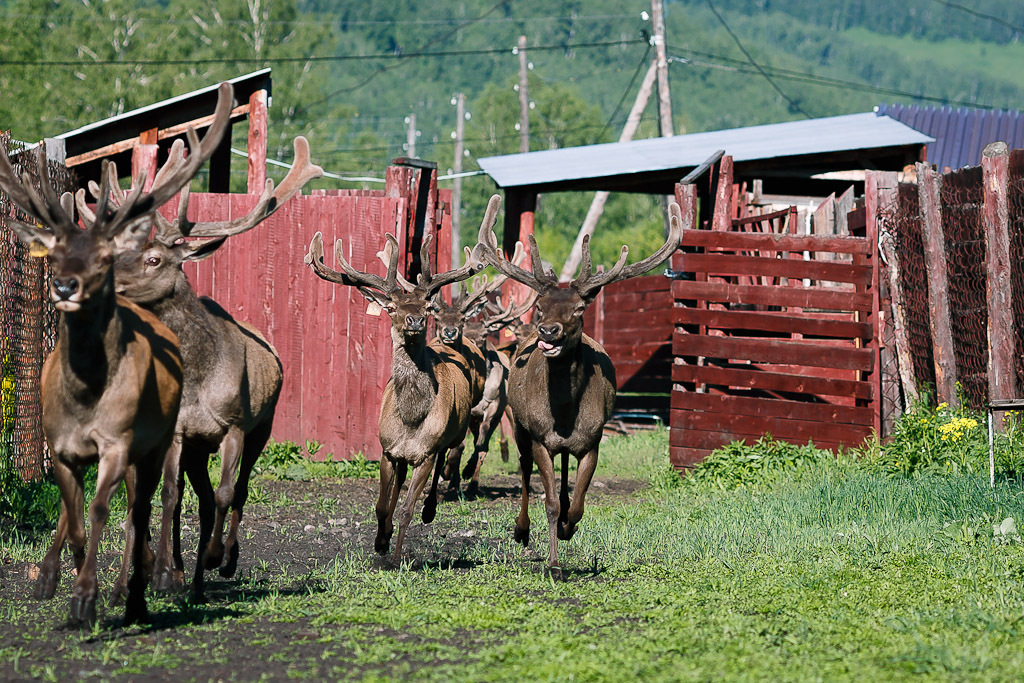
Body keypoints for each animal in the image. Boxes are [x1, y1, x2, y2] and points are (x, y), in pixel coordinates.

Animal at [0, 92, 241, 626]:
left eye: (106, 257)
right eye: (53, 253)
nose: (64, 286)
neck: (86, 398)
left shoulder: (120, 443)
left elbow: (102, 511)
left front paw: (90, 595)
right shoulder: (60, 447)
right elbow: (71, 516)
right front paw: (59, 579)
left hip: (156, 443)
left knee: (145, 506)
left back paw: (140, 589)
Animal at [91, 131, 323, 602]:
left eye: (154, 259)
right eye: (121, 253)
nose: (105, 281)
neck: (200, 379)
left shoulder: (235, 423)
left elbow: (226, 492)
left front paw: (215, 556)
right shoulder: (180, 432)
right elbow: (171, 495)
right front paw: (165, 574)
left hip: (264, 425)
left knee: (241, 489)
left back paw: (226, 560)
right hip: (198, 447)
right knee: (195, 496)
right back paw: (190, 577)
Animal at [301, 214, 489, 561]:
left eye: (427, 307)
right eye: (391, 308)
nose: (414, 321)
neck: (411, 419)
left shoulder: (426, 452)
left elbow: (406, 509)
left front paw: (397, 555)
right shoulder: (387, 450)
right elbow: (381, 505)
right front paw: (380, 542)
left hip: (454, 433)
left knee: (446, 462)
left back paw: (430, 509)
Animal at [473, 194, 684, 581]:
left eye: (579, 308)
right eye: (540, 308)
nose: (548, 331)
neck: (565, 414)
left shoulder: (593, 441)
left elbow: (579, 504)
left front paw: (568, 528)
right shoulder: (541, 438)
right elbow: (549, 503)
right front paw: (554, 563)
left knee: (565, 475)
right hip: (520, 425)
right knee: (524, 470)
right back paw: (521, 529)